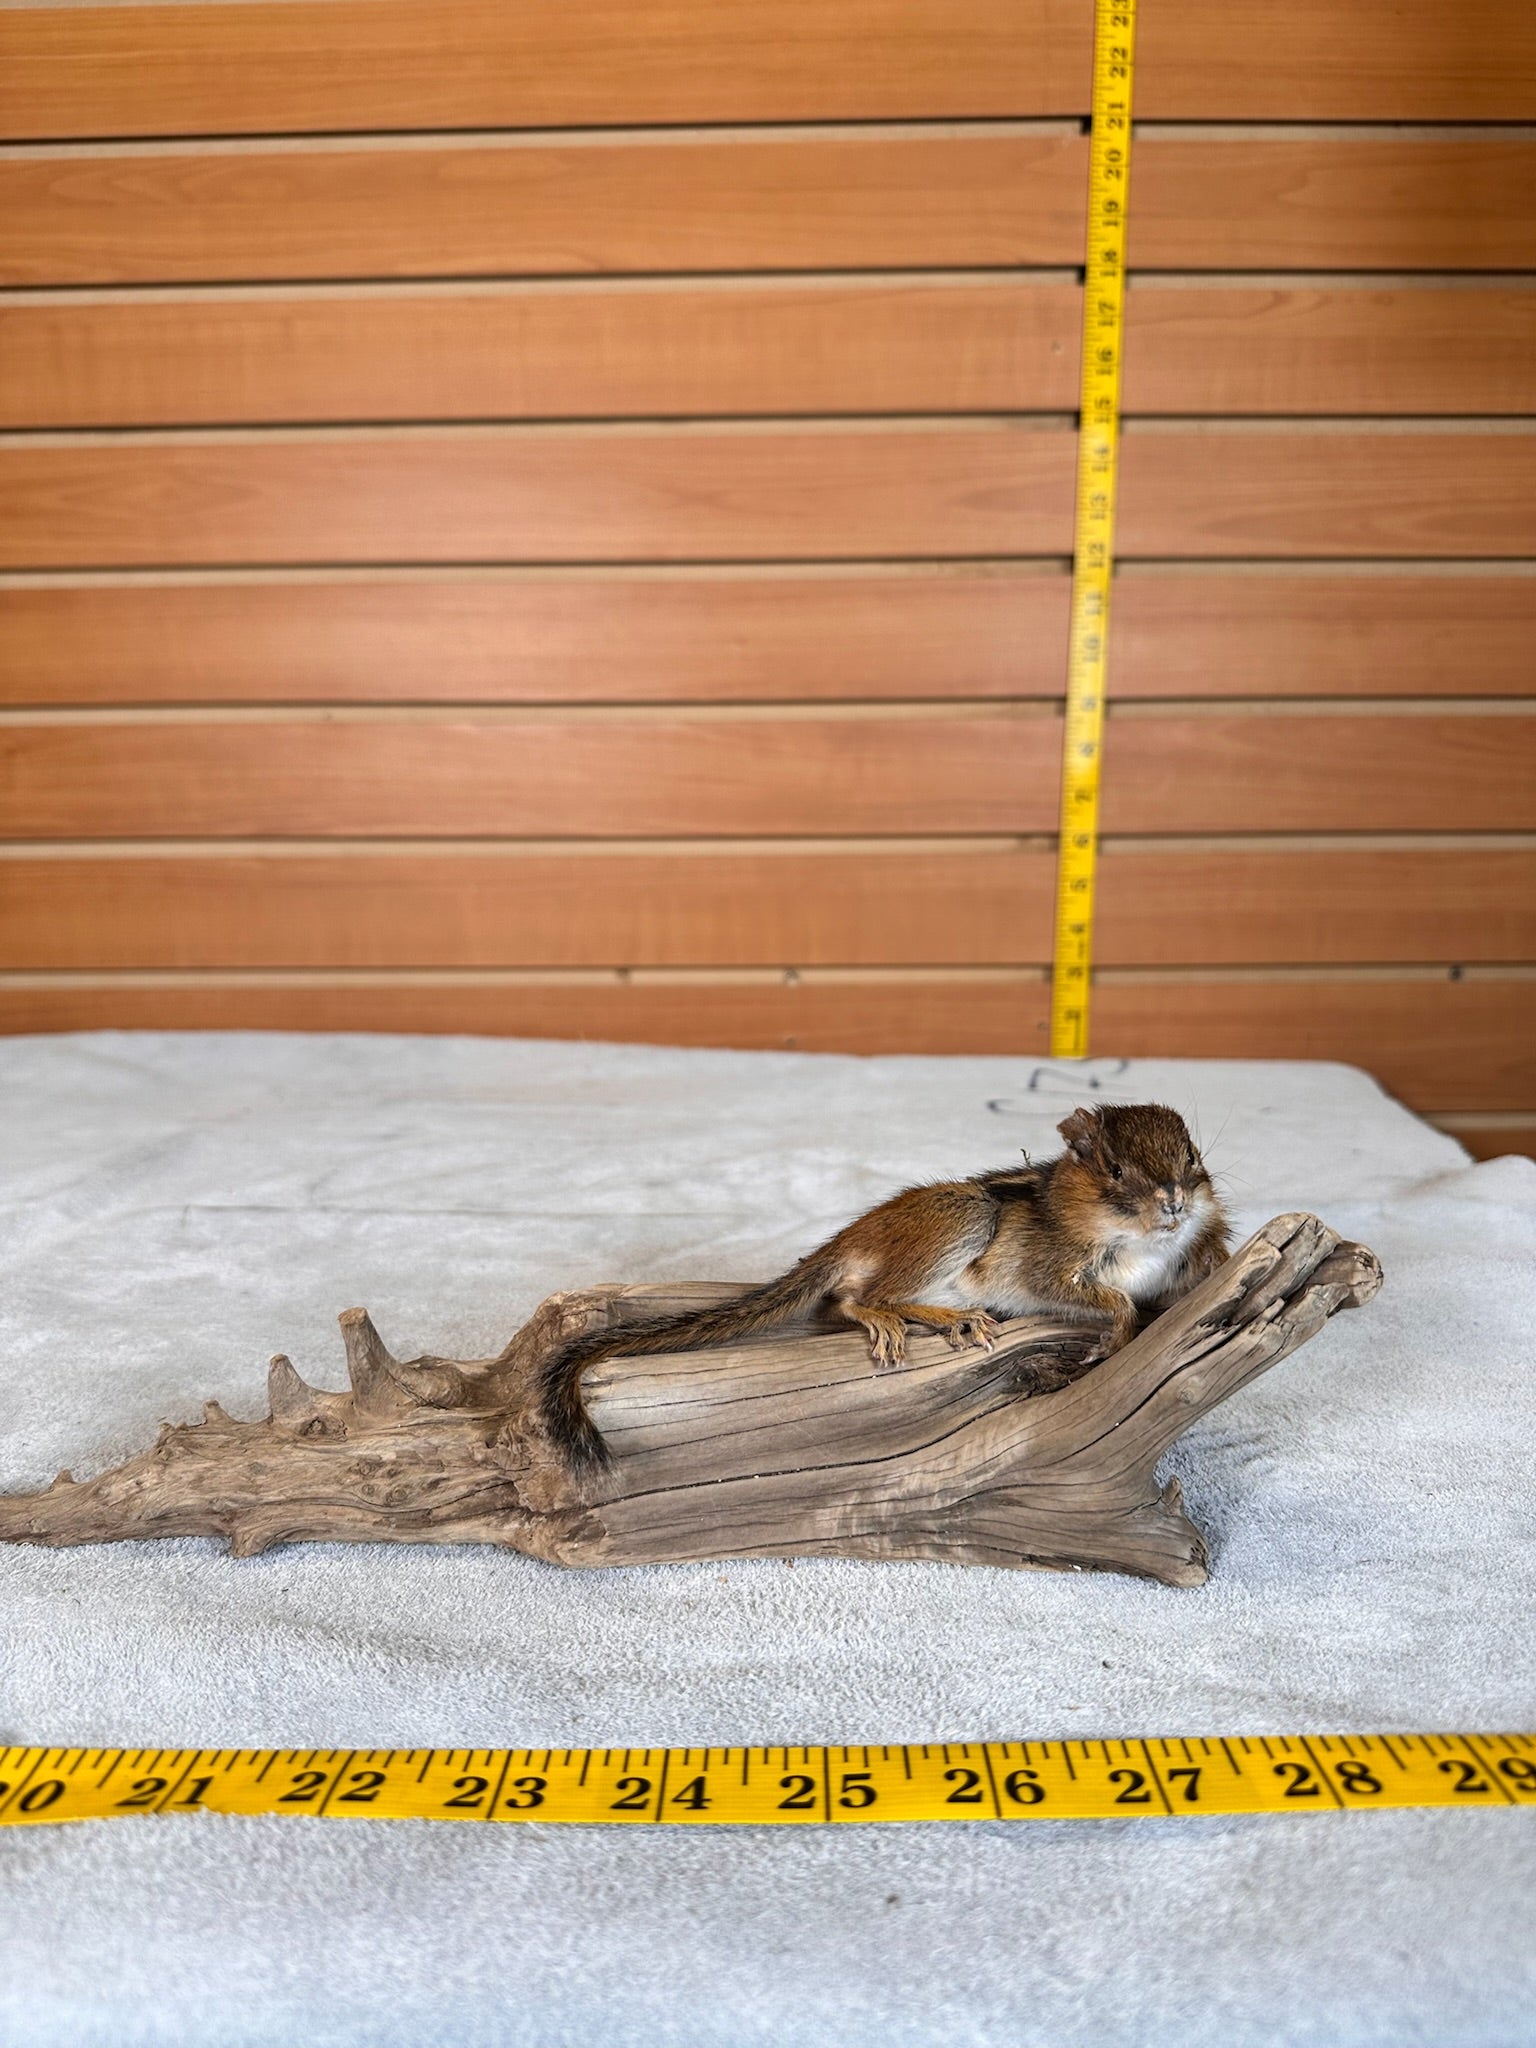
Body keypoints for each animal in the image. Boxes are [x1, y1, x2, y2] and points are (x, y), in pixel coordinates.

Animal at [537, 1102, 1230, 1472]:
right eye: (1115, 1170)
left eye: (1192, 1157)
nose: (1173, 1201)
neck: (1145, 1243)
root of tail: (852, 1235)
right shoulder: (1050, 1269)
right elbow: (1109, 1298)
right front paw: (1116, 1330)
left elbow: (1197, 1264)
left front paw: (1218, 1260)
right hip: (963, 1216)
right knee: (854, 1299)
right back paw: (938, 1317)